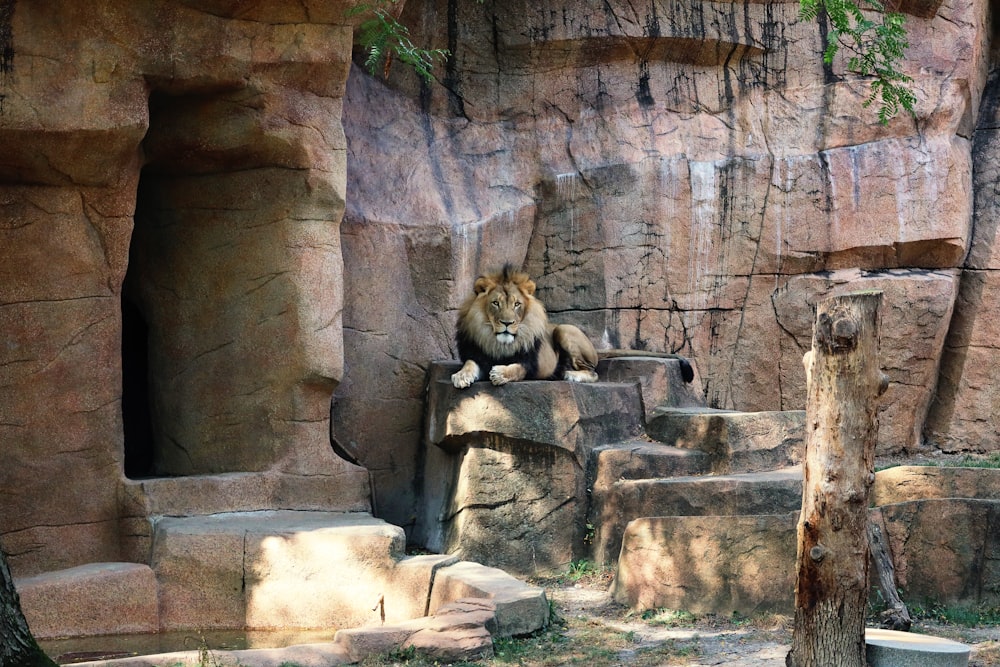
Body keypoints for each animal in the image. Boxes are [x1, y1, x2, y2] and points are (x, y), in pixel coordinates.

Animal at [450, 264, 596, 388]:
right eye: (496, 303)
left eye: (517, 304)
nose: (507, 323)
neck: (500, 345)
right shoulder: (478, 357)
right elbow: (470, 363)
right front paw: (461, 376)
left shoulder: (531, 365)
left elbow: (516, 369)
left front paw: (499, 373)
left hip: (563, 329)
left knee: (593, 372)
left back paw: (569, 374)